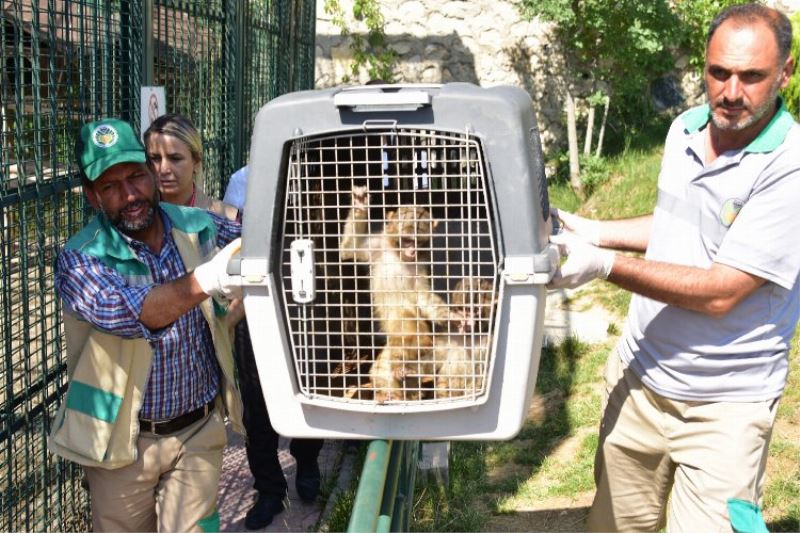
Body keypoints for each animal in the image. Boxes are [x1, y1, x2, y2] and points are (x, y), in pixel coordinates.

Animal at [238, 83, 560, 438]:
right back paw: (390, 388)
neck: (395, 254)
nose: (408, 251)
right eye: (405, 238)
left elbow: (424, 298)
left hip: (407, 328)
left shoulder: (419, 271)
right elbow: (349, 251)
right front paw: (361, 202)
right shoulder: (377, 248)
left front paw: (454, 318)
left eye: (417, 241)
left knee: (414, 336)